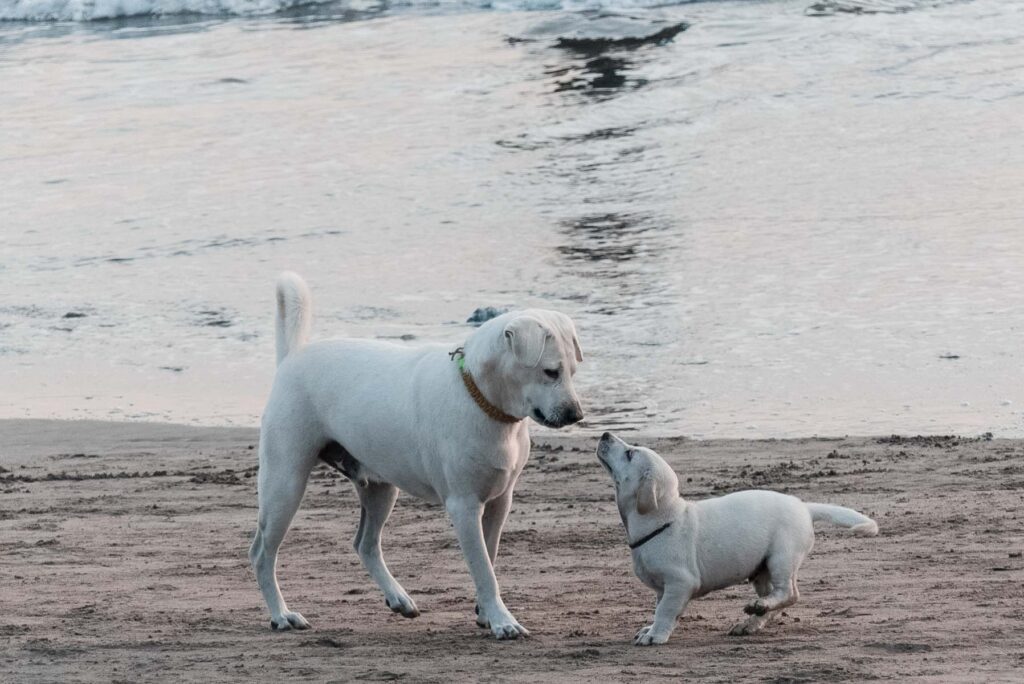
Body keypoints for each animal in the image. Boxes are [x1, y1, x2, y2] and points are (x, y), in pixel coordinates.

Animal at [248, 272, 585, 643]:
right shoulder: (464, 506)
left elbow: (490, 557)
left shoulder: (500, 501)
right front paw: (502, 620)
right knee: (262, 553)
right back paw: (281, 615)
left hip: (380, 488)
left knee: (365, 544)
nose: (577, 415)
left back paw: (398, 598)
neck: (481, 399)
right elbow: (483, 568)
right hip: (285, 483)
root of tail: (291, 358)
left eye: (572, 371)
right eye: (550, 372)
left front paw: (485, 613)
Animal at [598, 432, 876, 647]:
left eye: (629, 454)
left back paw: (756, 608)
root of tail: (804, 507)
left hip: (782, 557)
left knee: (789, 592)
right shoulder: (664, 588)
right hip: (762, 570)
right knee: (776, 599)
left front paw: (655, 635)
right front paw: (651, 628)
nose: (605, 434)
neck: (664, 517)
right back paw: (752, 619)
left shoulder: (680, 583)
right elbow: (661, 609)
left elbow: (665, 610)